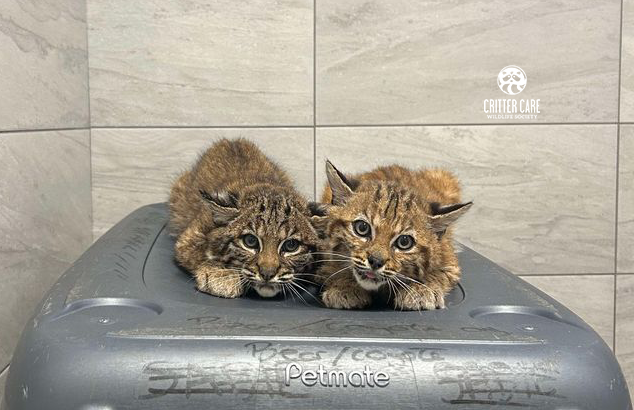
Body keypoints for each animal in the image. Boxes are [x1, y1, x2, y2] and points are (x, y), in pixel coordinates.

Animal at [169, 139, 320, 300]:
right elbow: (196, 254)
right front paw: (222, 276)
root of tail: (231, 141)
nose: (267, 274)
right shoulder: (187, 238)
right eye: (250, 241)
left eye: (291, 245)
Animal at [316, 160, 470, 310]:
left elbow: (437, 273)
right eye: (362, 228)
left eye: (404, 242)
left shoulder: (450, 262)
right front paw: (344, 287)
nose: (376, 261)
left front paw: (420, 290)